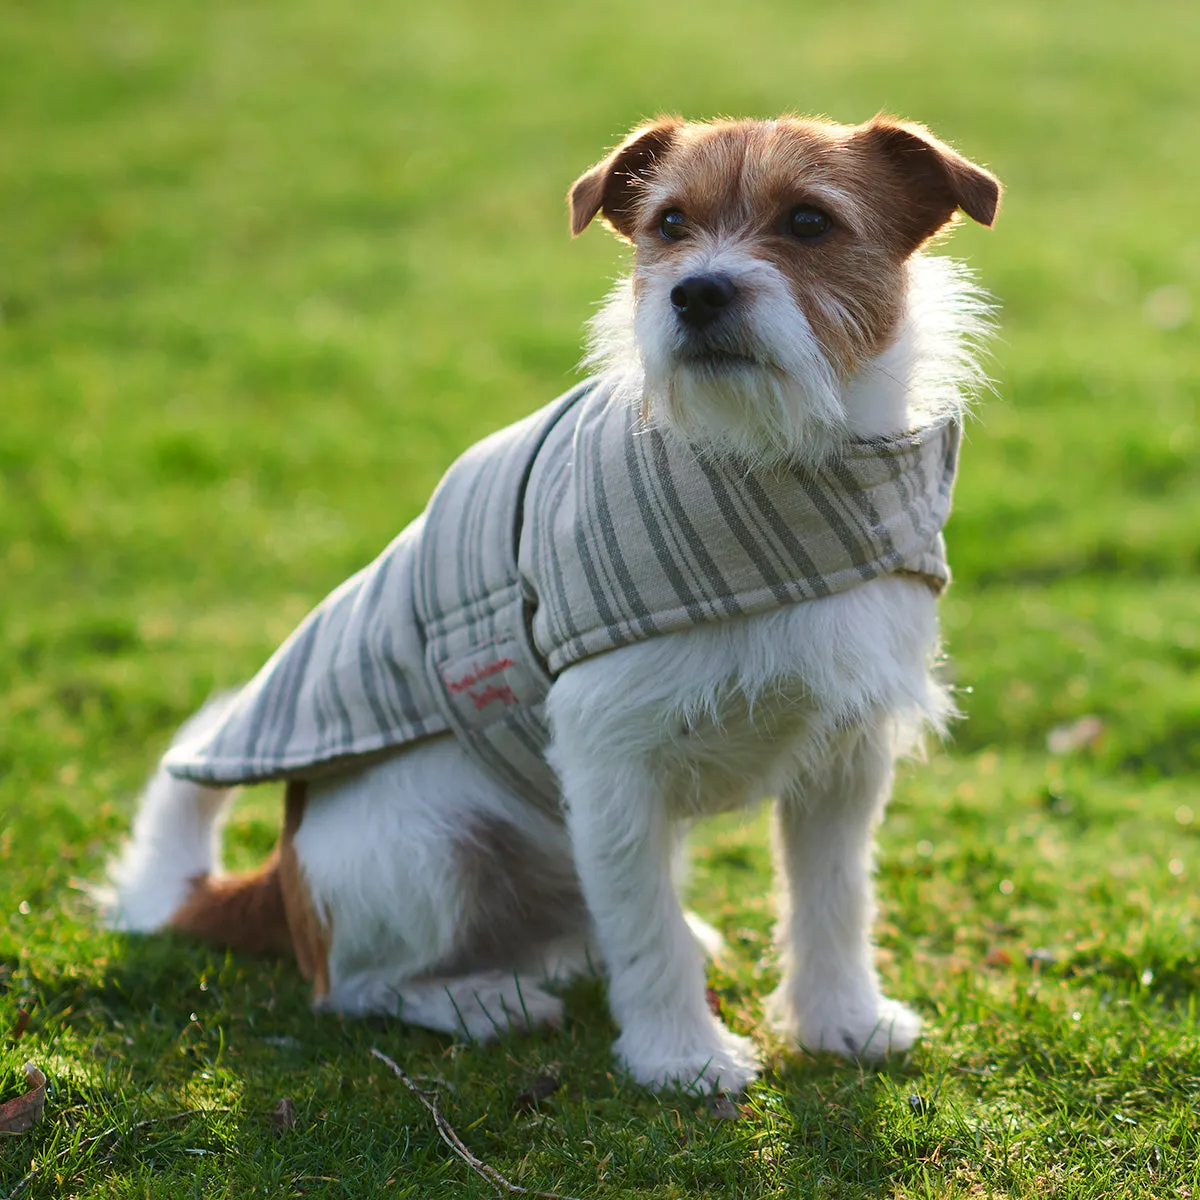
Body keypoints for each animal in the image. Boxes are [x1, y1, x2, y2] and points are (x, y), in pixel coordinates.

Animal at [110, 114, 993, 1099]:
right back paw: (481, 1002)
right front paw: (680, 1058)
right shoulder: (610, 765)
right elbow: (645, 927)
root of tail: (280, 885)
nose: (696, 293)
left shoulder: (844, 759)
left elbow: (833, 901)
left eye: (809, 222)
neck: (772, 473)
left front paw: (841, 1021)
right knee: (353, 987)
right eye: (668, 224)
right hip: (431, 848)